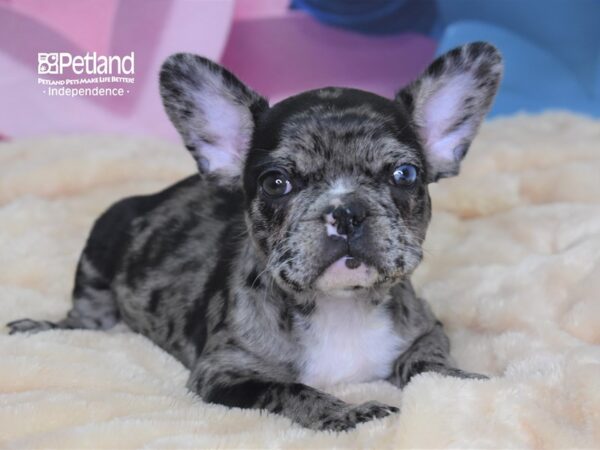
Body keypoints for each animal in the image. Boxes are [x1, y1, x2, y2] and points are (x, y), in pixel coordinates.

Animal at [9, 43, 504, 432]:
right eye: (275, 183)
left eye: (405, 175)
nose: (347, 211)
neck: (340, 308)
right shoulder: (225, 372)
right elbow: (292, 390)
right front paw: (348, 414)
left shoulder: (426, 330)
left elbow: (427, 364)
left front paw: (462, 381)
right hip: (101, 243)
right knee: (85, 317)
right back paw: (42, 327)